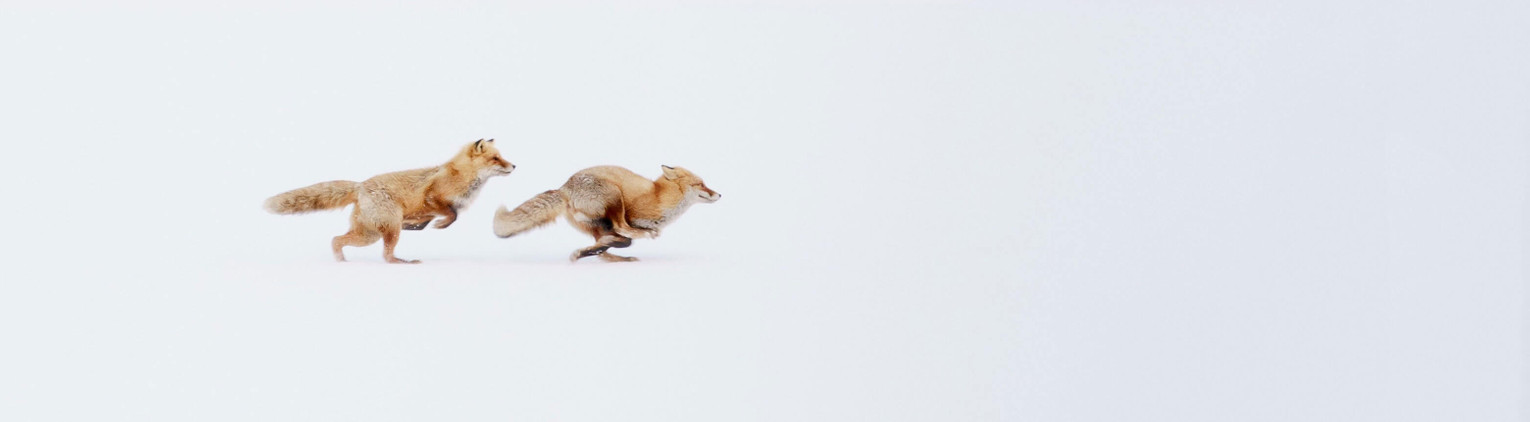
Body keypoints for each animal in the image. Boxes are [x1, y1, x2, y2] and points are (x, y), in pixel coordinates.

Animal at [264, 139, 515, 263]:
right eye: (496, 158)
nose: (514, 165)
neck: (462, 177)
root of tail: (360, 185)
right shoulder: (433, 198)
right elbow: (452, 215)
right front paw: (440, 225)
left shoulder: (424, 211)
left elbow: (430, 220)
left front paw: (419, 226)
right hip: (388, 230)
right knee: (385, 256)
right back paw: (401, 262)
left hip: (370, 234)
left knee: (336, 240)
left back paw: (342, 262)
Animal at [493, 165, 720, 262]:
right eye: (701, 184)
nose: (719, 194)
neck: (659, 196)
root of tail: (564, 188)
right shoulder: (631, 214)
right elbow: (628, 232)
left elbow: (618, 241)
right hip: (614, 195)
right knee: (622, 229)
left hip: (596, 224)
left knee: (607, 244)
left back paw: (602, 254)